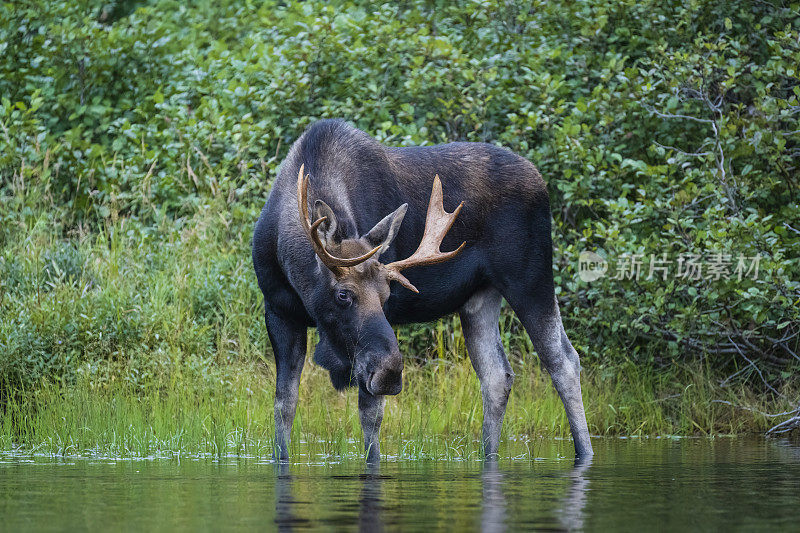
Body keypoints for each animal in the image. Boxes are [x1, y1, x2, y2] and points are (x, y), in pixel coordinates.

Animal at [253, 118, 592, 460]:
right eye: (343, 294)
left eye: (388, 295)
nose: (390, 371)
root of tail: (541, 181)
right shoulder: (278, 312)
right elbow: (284, 406)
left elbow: (370, 417)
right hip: (480, 296)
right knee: (497, 375)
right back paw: (489, 455)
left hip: (530, 277)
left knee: (563, 361)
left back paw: (584, 451)